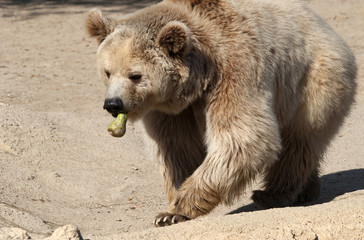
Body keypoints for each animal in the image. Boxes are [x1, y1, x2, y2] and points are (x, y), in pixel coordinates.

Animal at [85, 0, 356, 227]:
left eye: (135, 75)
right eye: (108, 72)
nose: (113, 104)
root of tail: (330, 31)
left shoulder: (234, 71)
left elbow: (243, 138)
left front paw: (173, 212)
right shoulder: (170, 110)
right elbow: (176, 148)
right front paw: (174, 201)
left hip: (312, 82)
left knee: (299, 141)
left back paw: (273, 194)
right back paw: (306, 189)